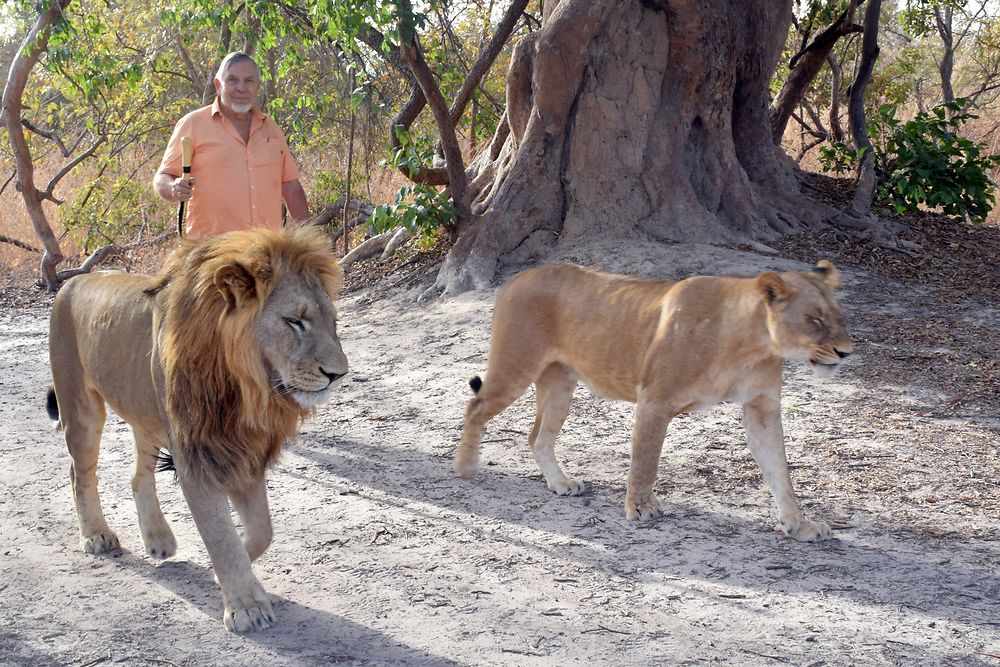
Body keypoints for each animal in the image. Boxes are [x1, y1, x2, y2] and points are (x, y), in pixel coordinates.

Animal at [48, 228, 350, 632]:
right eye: (294, 321)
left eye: (333, 322)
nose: (338, 374)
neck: (246, 387)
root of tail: (72, 281)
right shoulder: (196, 454)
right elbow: (220, 533)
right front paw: (246, 607)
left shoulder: (242, 450)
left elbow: (261, 530)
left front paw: (230, 571)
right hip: (81, 409)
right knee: (79, 473)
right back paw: (97, 535)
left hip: (147, 414)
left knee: (138, 476)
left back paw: (158, 537)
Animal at [458, 260, 856, 544]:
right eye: (813, 319)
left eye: (839, 318)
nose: (846, 352)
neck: (752, 344)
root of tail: (517, 277)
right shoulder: (654, 400)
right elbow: (645, 459)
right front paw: (640, 508)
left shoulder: (762, 408)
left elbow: (780, 472)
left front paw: (799, 525)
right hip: (515, 367)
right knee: (475, 408)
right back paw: (466, 467)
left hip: (559, 384)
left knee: (537, 436)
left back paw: (560, 483)